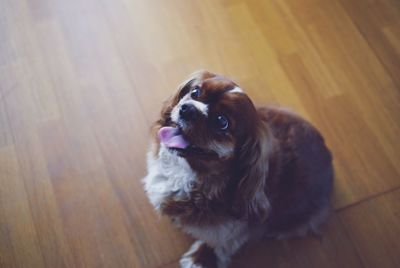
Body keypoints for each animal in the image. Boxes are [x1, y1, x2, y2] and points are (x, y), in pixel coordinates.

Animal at [142, 70, 332, 266]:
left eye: (221, 121)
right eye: (195, 92)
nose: (188, 109)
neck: (191, 173)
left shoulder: (233, 230)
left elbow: (220, 244)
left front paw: (201, 259)